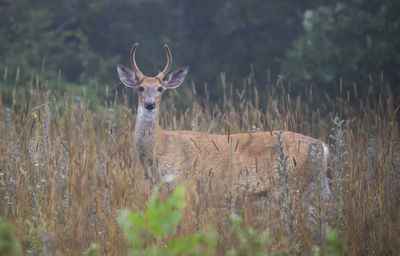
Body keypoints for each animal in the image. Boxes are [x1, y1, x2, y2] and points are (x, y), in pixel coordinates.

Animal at [117, 42, 330, 206]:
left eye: (160, 88)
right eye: (140, 88)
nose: (150, 104)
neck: (160, 145)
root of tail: (323, 147)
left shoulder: (184, 185)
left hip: (292, 186)